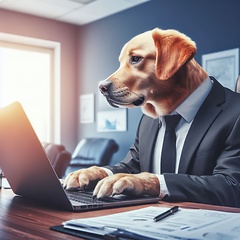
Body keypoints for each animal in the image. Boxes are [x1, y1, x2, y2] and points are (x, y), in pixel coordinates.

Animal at [63, 28, 208, 199]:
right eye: (120, 62)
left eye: (136, 59)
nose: (102, 88)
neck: (171, 110)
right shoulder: (132, 159)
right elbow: (117, 166)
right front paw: (83, 172)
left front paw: (124, 178)